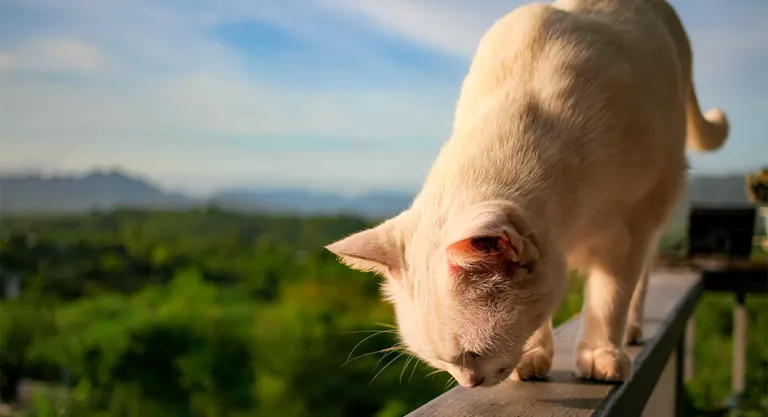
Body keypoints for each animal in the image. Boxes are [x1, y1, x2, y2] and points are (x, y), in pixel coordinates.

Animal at [322, 0, 728, 388]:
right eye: (441, 362)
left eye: (474, 353)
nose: (469, 383)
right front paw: (533, 357)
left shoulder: (628, 231)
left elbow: (609, 298)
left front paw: (600, 355)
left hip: (658, 203)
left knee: (640, 278)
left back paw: (629, 331)